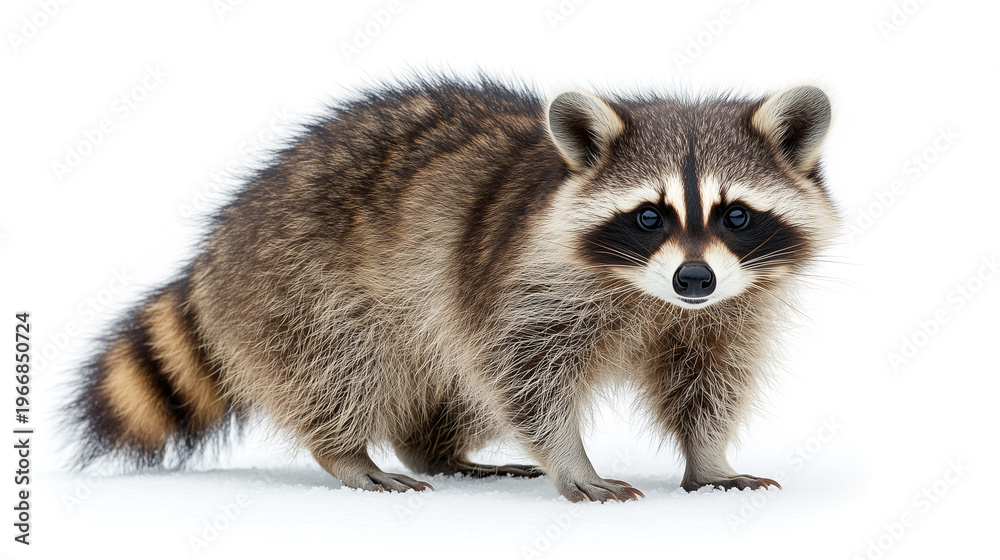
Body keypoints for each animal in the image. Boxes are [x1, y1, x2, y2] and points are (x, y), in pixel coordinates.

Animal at [65, 76, 837, 502]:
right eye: (650, 216)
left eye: (736, 215)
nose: (694, 278)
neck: (651, 294)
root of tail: (222, 238)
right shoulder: (521, 279)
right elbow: (523, 373)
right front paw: (571, 459)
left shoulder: (728, 308)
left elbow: (706, 378)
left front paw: (707, 457)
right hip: (300, 284)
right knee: (341, 364)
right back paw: (347, 453)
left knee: (448, 385)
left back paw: (437, 450)